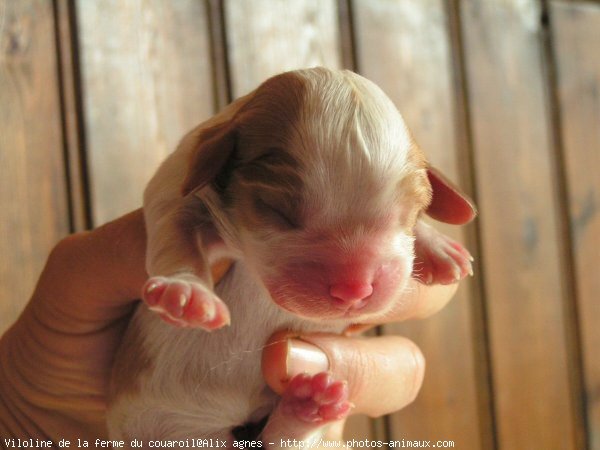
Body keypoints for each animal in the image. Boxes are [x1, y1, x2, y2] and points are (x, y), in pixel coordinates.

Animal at [106, 67, 474, 446]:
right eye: (278, 211)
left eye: (410, 214)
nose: (354, 289)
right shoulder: (176, 188)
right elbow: (175, 236)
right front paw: (186, 293)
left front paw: (439, 247)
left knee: (280, 440)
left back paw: (307, 407)